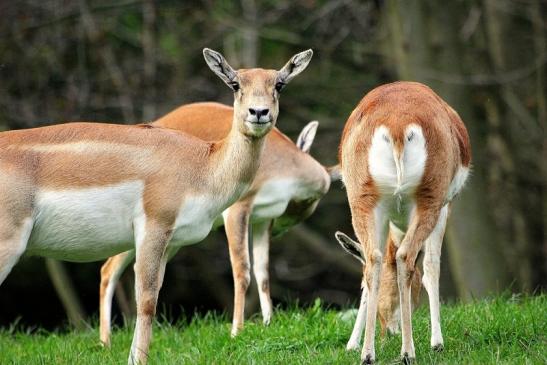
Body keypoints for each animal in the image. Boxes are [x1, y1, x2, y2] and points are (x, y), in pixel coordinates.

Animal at [100, 101, 336, 346]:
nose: (279, 232)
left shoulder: (263, 219)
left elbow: (263, 272)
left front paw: (268, 322)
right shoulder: (237, 211)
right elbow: (242, 270)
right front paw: (236, 332)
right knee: (109, 268)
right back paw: (105, 342)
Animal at [338, 81, 470, 362]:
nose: (389, 329)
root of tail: (397, 123)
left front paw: (352, 344)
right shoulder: (444, 208)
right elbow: (430, 267)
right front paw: (437, 342)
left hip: (364, 203)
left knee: (374, 261)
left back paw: (368, 354)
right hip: (428, 203)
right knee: (406, 257)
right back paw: (409, 352)